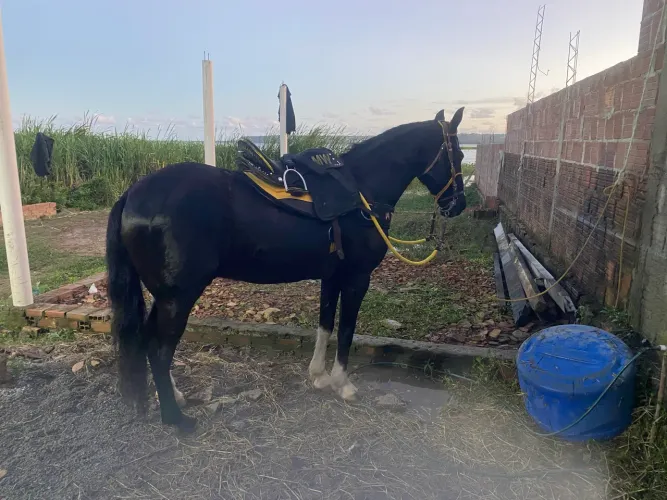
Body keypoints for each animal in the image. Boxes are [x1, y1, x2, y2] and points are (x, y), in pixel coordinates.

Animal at [105, 108, 467, 431]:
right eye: (460, 154)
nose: (459, 205)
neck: (361, 193)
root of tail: (132, 194)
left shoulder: (331, 277)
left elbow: (325, 325)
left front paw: (319, 377)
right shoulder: (356, 278)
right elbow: (346, 330)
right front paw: (343, 384)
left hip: (165, 296)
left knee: (150, 339)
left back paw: (174, 397)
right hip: (178, 297)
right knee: (159, 349)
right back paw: (176, 419)